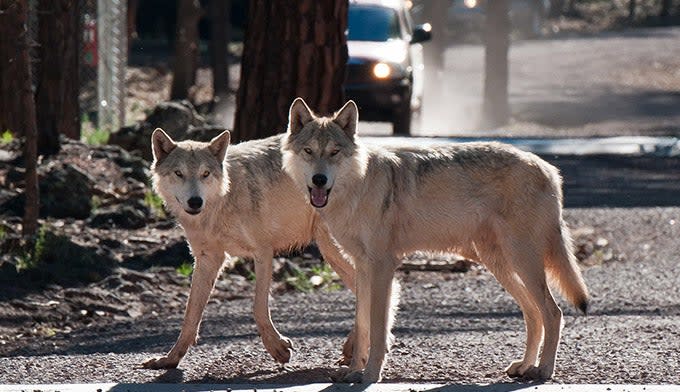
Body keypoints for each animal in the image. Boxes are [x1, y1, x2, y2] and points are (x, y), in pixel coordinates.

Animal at [141, 129, 358, 370]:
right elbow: (190, 316)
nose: (195, 202)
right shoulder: (208, 258)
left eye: (205, 174)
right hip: (331, 253)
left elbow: (258, 307)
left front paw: (277, 348)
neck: (223, 200)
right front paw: (169, 359)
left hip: (335, 249)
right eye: (179, 173)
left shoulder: (263, 252)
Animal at [282, 98, 588, 382]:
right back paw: (525, 366)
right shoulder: (363, 267)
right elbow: (363, 325)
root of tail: (549, 169)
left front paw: (370, 375)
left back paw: (544, 370)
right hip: (501, 265)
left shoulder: (383, 266)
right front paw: (354, 371)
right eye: (309, 151)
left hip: (522, 261)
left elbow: (378, 329)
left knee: (553, 312)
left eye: (334, 152)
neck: (359, 186)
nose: (319, 180)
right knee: (534, 314)